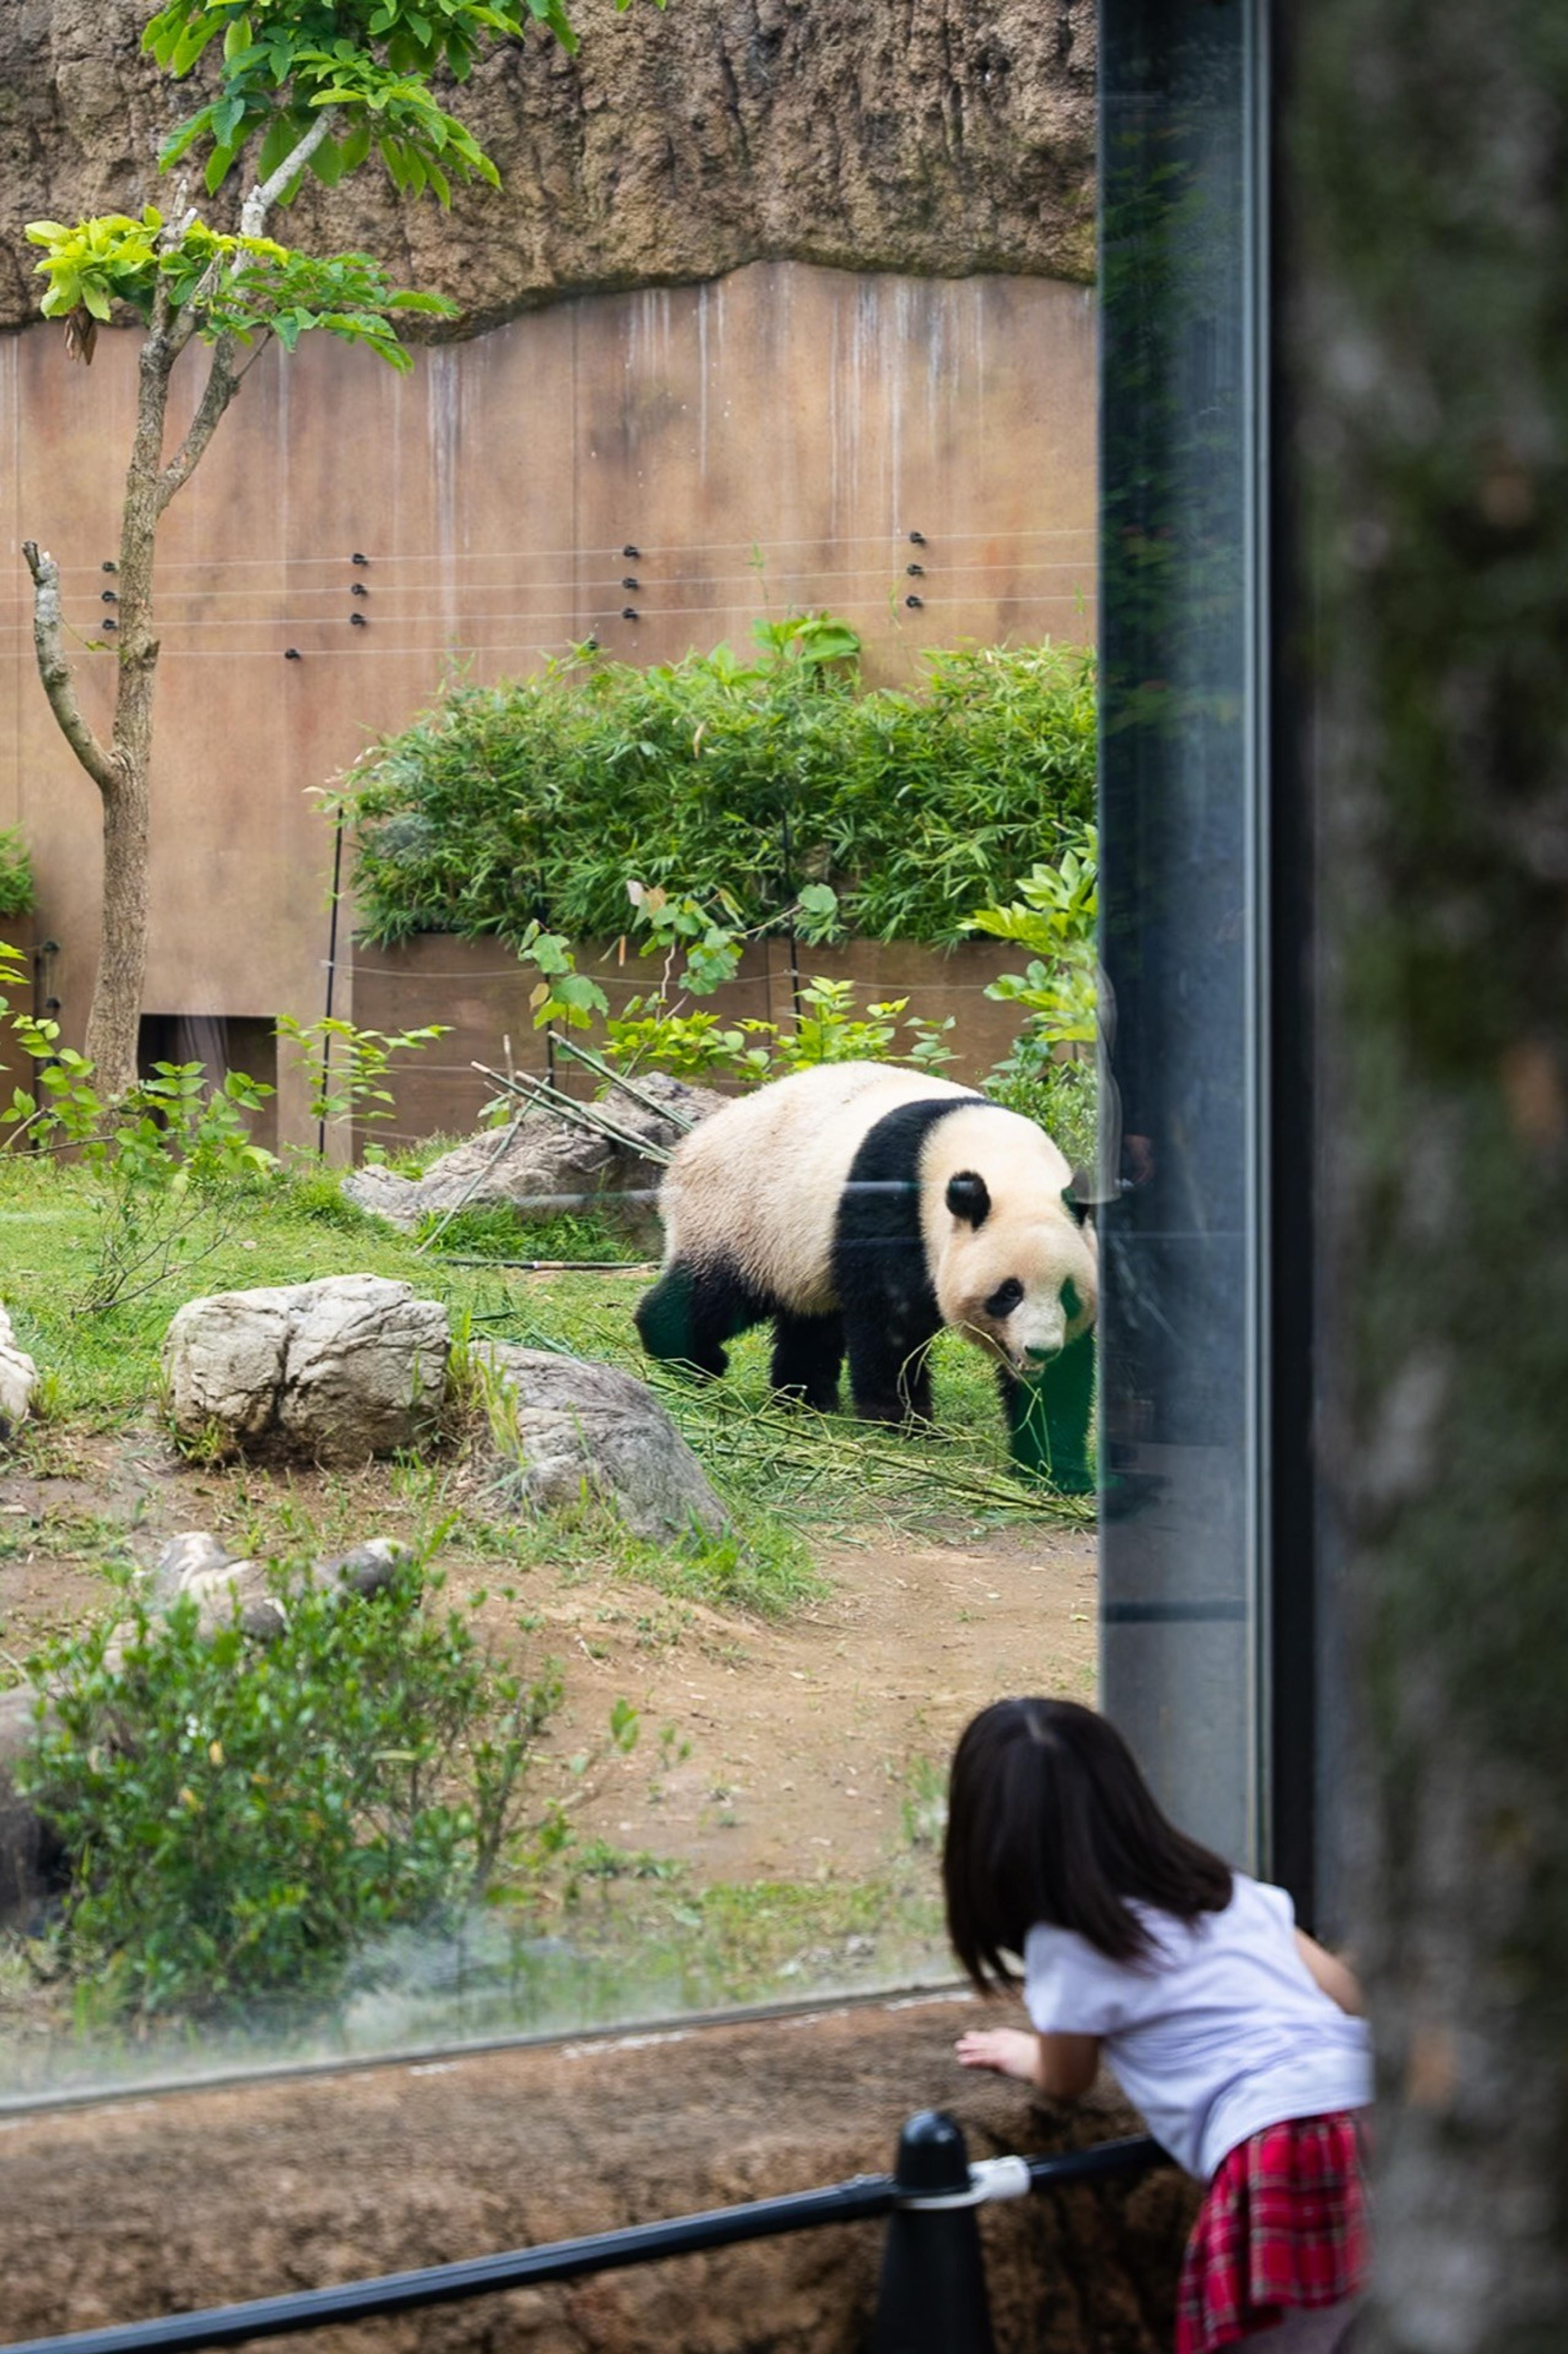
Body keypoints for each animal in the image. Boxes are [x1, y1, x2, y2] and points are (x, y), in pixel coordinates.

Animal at [633, 1060, 1097, 1492]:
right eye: (1008, 1292)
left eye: (1068, 1295)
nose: (1039, 1350)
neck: (1000, 1160)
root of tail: (688, 1147)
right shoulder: (893, 1198)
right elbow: (889, 1320)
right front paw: (903, 1422)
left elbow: (1068, 1373)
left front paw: (1056, 1467)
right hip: (744, 1217)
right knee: (715, 1294)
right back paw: (689, 1356)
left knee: (810, 1321)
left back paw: (803, 1397)